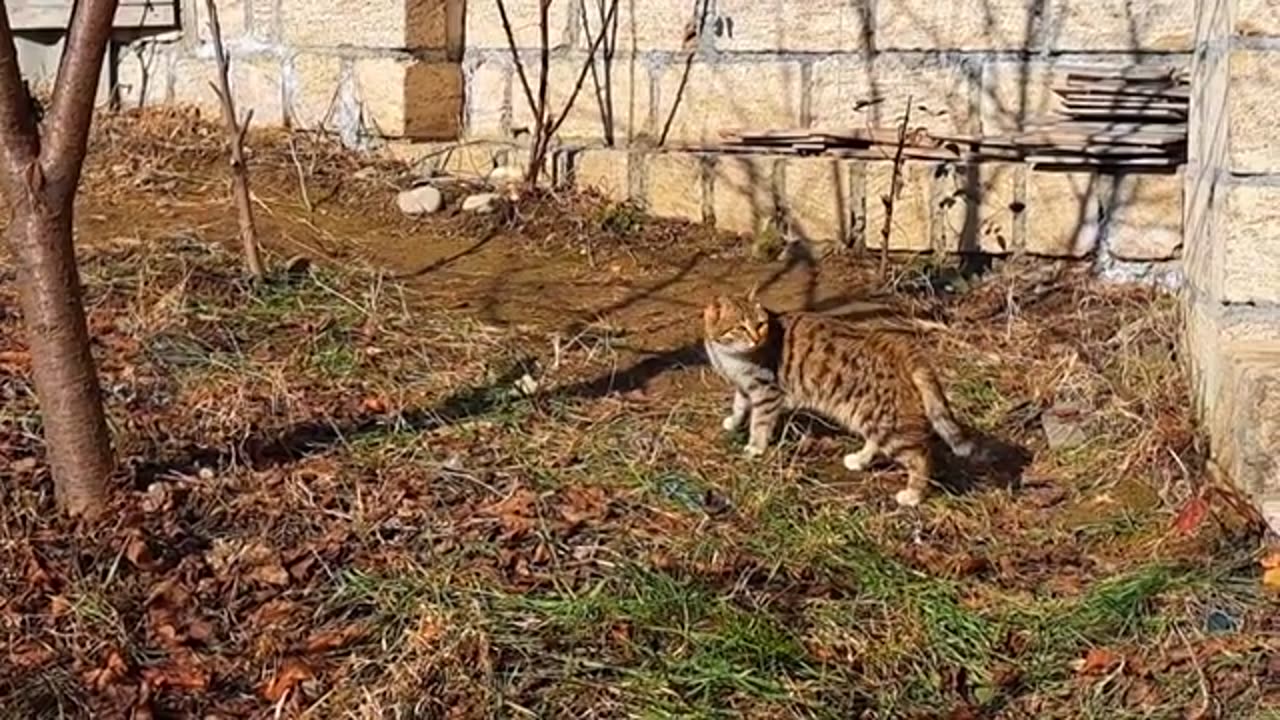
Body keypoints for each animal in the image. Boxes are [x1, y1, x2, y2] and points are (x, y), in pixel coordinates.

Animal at [701, 292, 967, 504]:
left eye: (760, 324)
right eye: (740, 327)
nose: (756, 339)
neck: (730, 356)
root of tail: (895, 346)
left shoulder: (766, 392)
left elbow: (759, 424)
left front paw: (755, 448)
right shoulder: (744, 388)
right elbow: (738, 407)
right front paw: (733, 422)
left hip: (886, 423)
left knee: (920, 458)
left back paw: (912, 495)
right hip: (870, 414)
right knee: (875, 441)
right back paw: (859, 460)